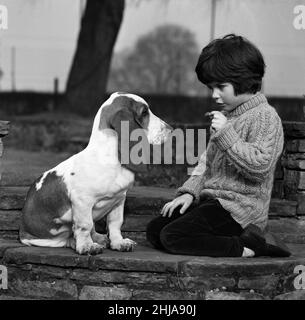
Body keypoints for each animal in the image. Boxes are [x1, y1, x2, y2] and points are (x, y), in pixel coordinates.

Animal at [19, 92, 172, 255]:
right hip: (51, 235)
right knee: (68, 237)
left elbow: (115, 224)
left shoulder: (119, 200)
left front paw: (118, 243)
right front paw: (87, 246)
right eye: (144, 112)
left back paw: (100, 239)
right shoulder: (82, 201)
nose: (170, 129)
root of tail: (22, 231)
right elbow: (84, 225)